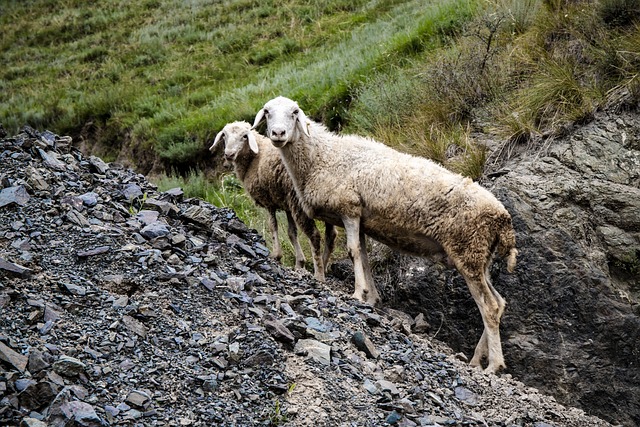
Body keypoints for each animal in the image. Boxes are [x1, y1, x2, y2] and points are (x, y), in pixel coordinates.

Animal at [211, 121, 340, 280]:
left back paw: (319, 274)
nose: (228, 155)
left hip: (299, 203)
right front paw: (300, 263)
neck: (256, 157)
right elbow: (291, 233)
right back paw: (324, 263)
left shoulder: (269, 201)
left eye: (244, 136)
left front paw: (277, 255)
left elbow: (273, 226)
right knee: (331, 235)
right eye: (224, 136)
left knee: (314, 235)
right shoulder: (286, 203)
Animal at [252, 98, 516, 374]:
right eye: (267, 112)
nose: (278, 134)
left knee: (489, 307)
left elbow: (353, 252)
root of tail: (502, 218)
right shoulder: (361, 220)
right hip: (479, 257)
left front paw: (358, 293)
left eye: (294, 113)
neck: (323, 156)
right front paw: (372, 297)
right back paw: (477, 359)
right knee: (499, 304)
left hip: (468, 251)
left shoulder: (349, 208)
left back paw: (494, 365)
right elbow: (364, 257)